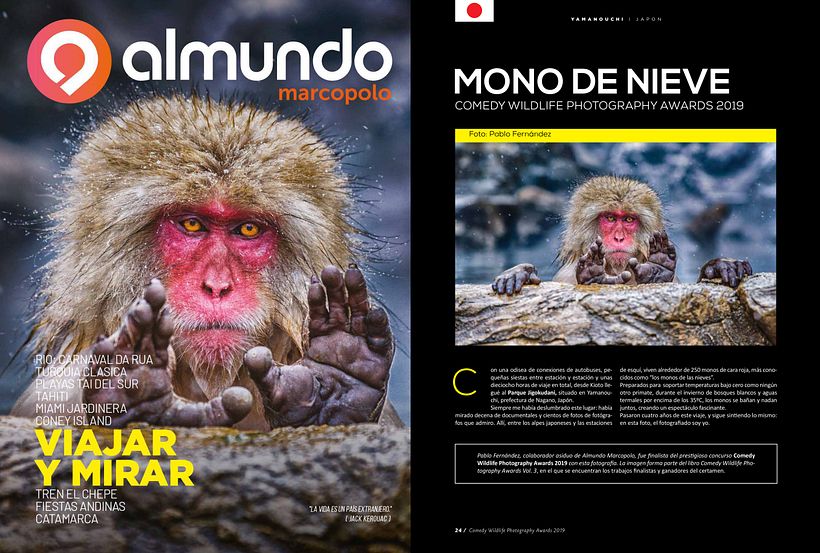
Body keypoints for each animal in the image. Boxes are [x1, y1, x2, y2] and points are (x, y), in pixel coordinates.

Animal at [11, 93, 400, 430]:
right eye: (192, 224)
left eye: (247, 229)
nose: (216, 287)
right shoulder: (51, 396)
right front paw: (139, 402)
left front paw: (336, 381)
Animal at [491, 176, 753, 295]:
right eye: (609, 218)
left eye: (628, 220)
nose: (618, 238)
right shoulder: (564, 277)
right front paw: (520, 273)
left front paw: (719, 266)